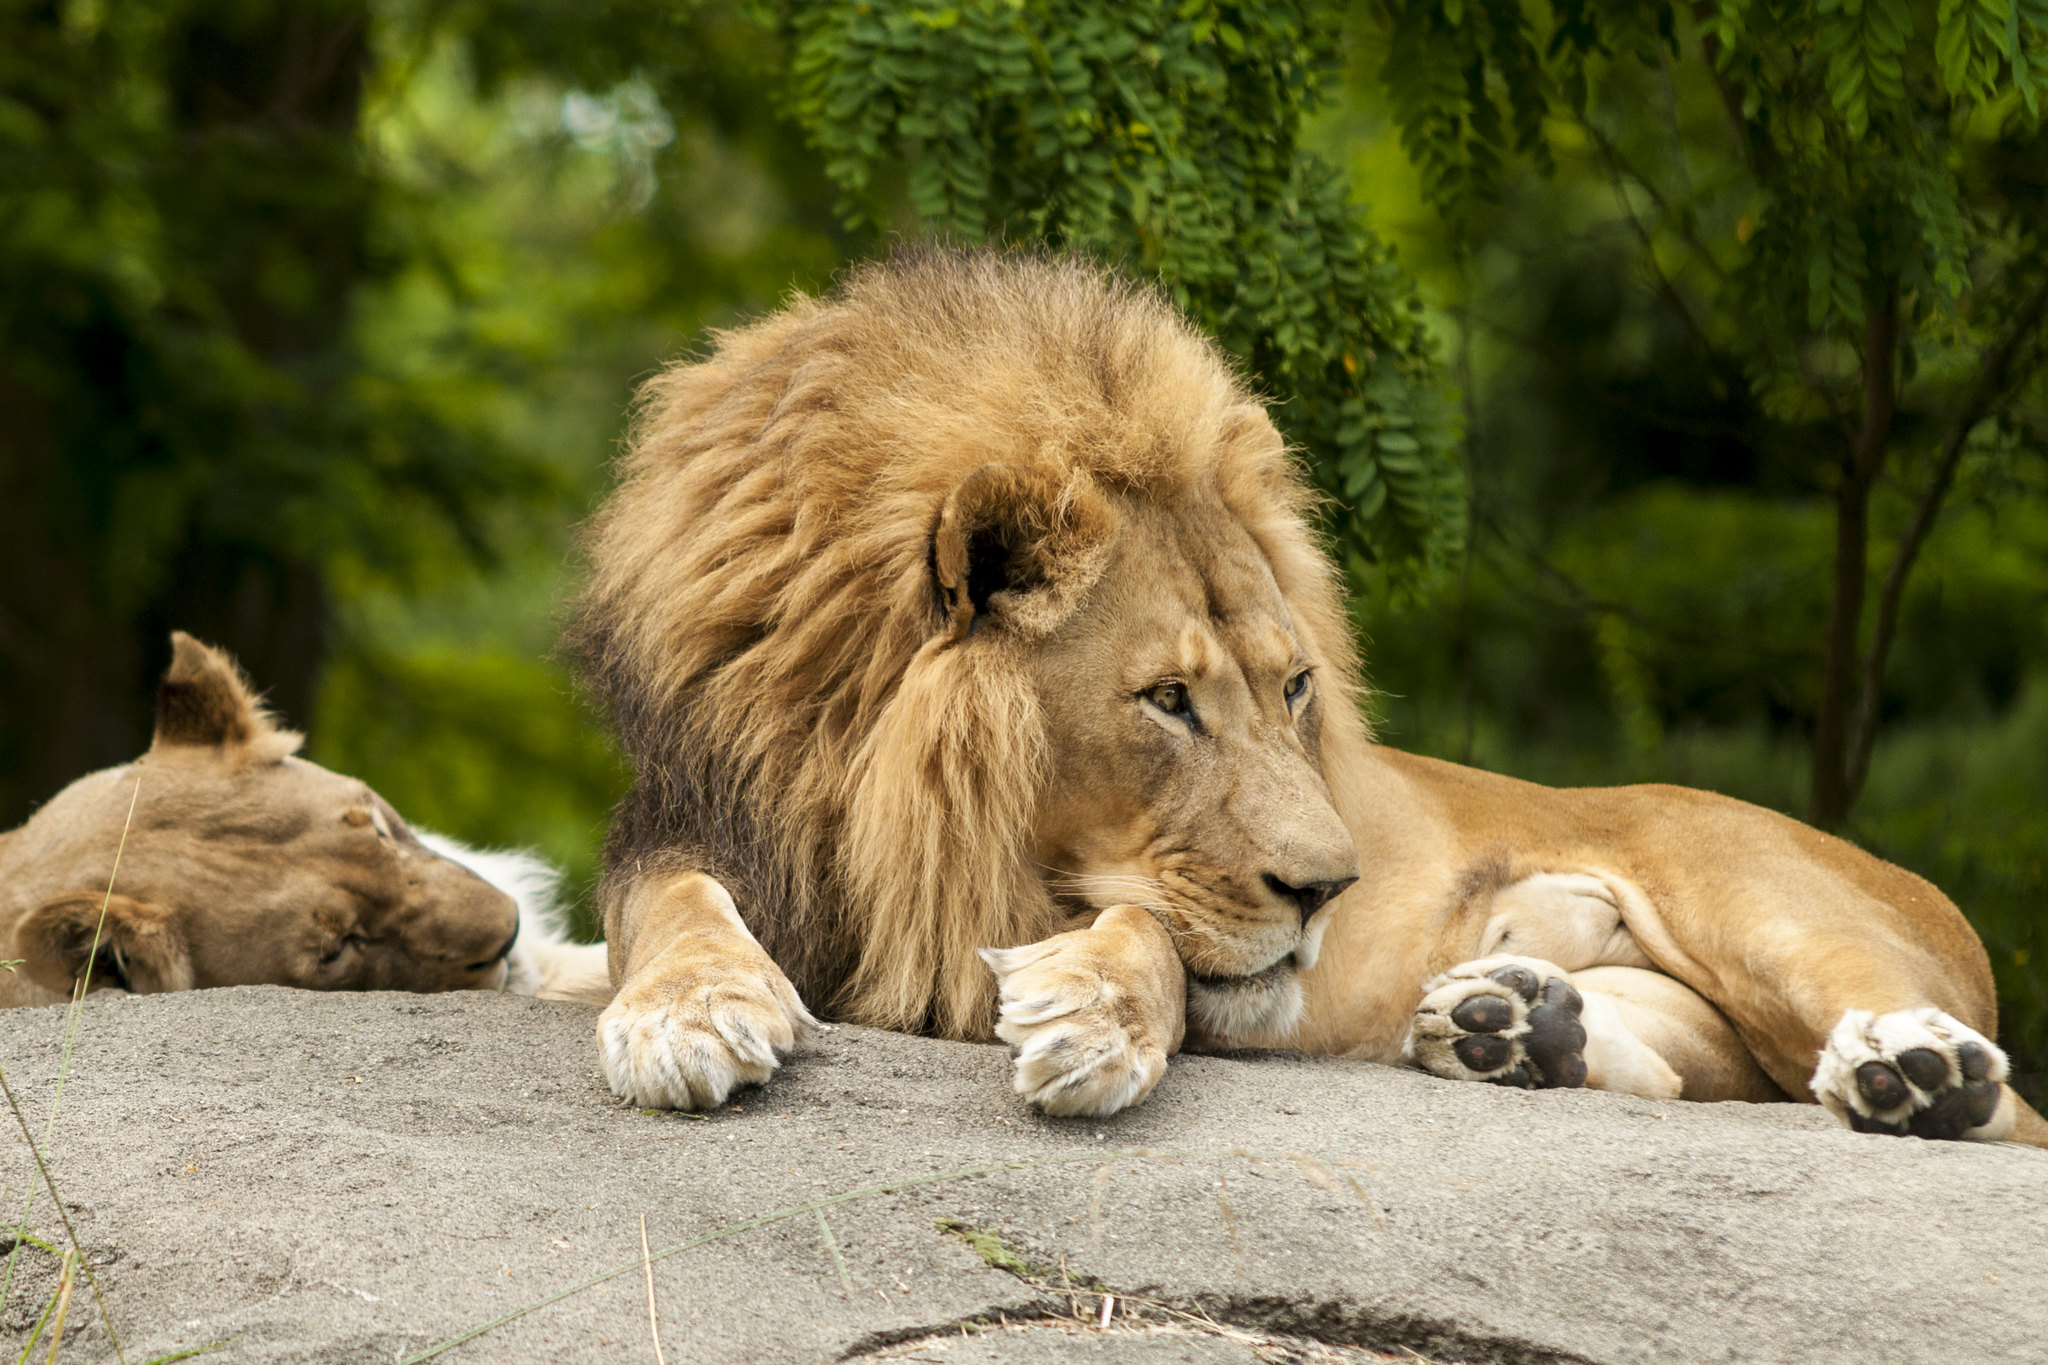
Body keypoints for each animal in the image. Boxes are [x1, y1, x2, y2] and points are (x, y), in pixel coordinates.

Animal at [574, 248, 2045, 1146]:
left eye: (1292, 687)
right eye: (1167, 699)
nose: (1335, 892)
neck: (848, 745)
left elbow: (1151, 932)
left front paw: (1094, 1013)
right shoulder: (689, 814)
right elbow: (670, 911)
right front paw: (689, 1010)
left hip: (1767, 911)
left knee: (1981, 1094)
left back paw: (1919, 1080)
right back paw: (1515, 1026)